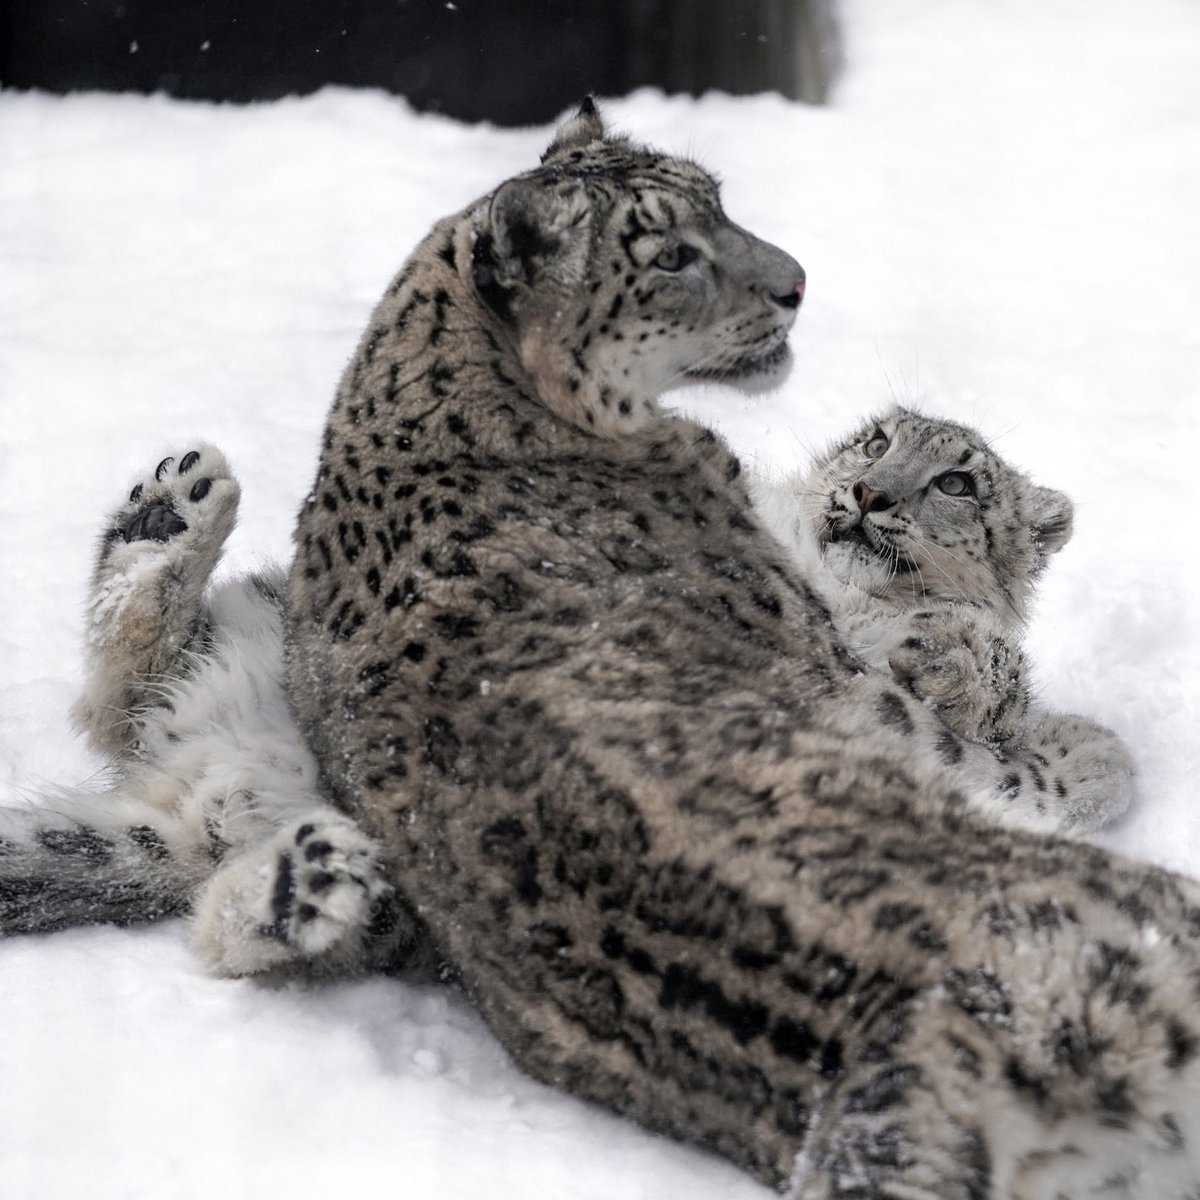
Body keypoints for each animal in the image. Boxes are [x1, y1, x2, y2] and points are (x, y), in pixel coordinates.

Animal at [276, 108, 1195, 1195]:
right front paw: (1085, 741)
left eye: (957, 482)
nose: (868, 493)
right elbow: (1002, 757)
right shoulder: (846, 680)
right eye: (670, 251)